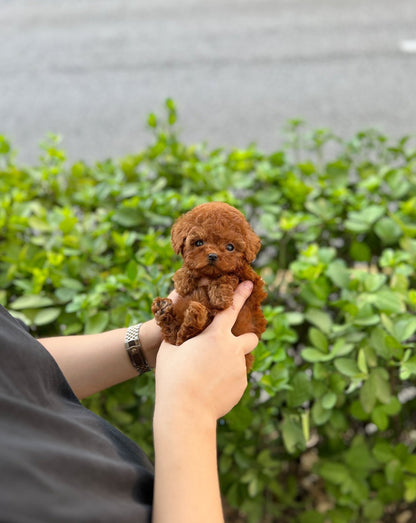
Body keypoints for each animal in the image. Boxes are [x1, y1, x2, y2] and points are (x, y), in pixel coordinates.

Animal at [152, 203, 266, 370]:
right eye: (199, 242)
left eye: (230, 247)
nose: (212, 255)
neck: (209, 275)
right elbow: (189, 269)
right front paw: (183, 280)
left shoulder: (251, 280)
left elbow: (229, 276)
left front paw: (220, 297)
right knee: (175, 335)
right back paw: (165, 310)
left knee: (181, 336)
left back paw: (193, 315)